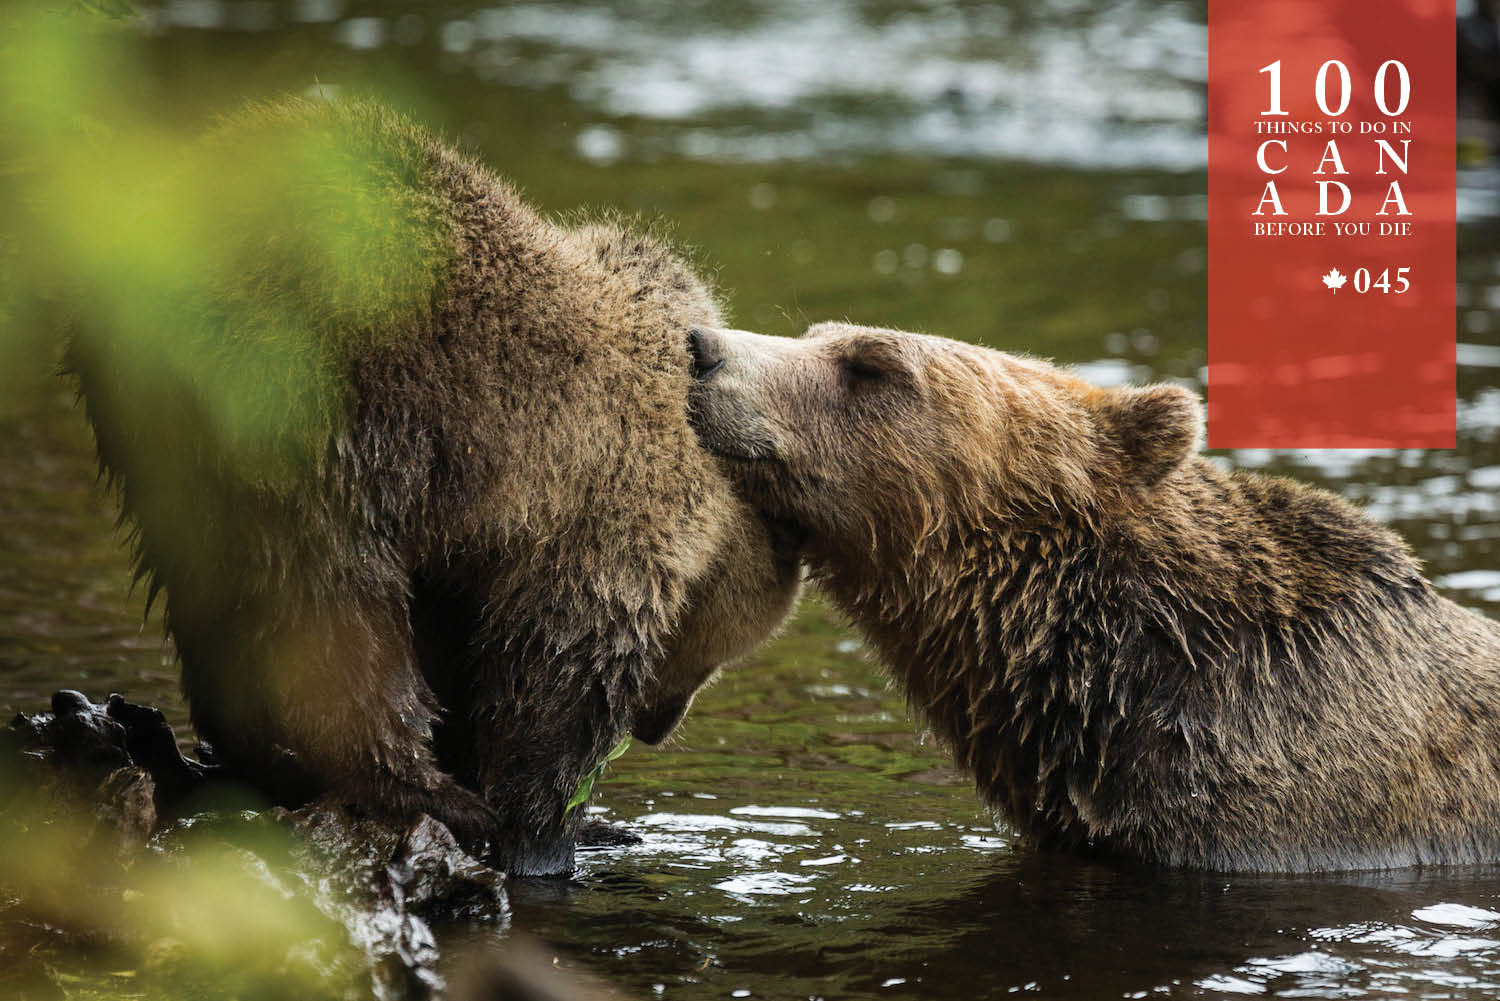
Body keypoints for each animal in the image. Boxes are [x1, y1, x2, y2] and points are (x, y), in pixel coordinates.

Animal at [64, 97, 804, 870]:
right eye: (718, 651)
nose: (660, 725)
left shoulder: (478, 532)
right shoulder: (604, 496)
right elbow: (558, 668)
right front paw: (542, 828)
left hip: (165, 439)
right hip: (308, 401)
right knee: (328, 603)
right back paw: (420, 790)